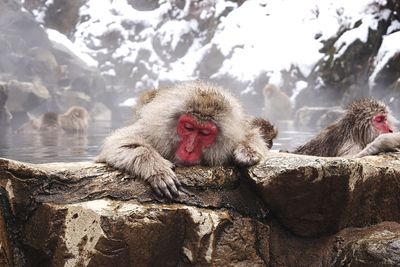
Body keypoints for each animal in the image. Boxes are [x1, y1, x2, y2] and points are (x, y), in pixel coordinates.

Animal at [95, 81, 270, 199]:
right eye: (188, 127)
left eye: (204, 133)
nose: (189, 149)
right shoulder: (155, 130)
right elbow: (119, 142)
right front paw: (159, 170)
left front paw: (248, 151)